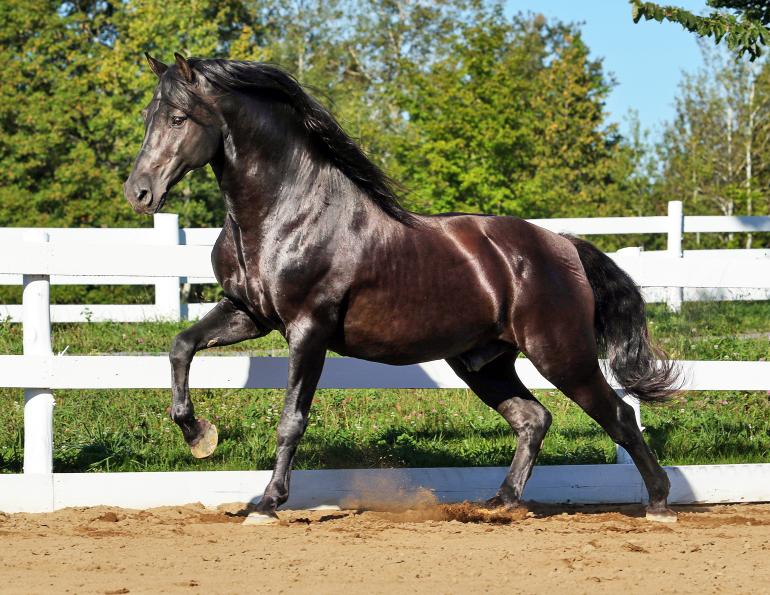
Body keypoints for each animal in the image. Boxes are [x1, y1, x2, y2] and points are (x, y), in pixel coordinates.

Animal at [124, 53, 680, 523]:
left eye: (178, 119)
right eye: (148, 116)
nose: (139, 192)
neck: (288, 213)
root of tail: (563, 245)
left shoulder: (308, 329)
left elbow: (291, 419)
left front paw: (267, 502)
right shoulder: (247, 313)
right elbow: (181, 346)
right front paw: (199, 436)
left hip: (561, 355)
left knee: (618, 415)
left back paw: (658, 502)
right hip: (484, 363)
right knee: (533, 418)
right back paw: (499, 502)